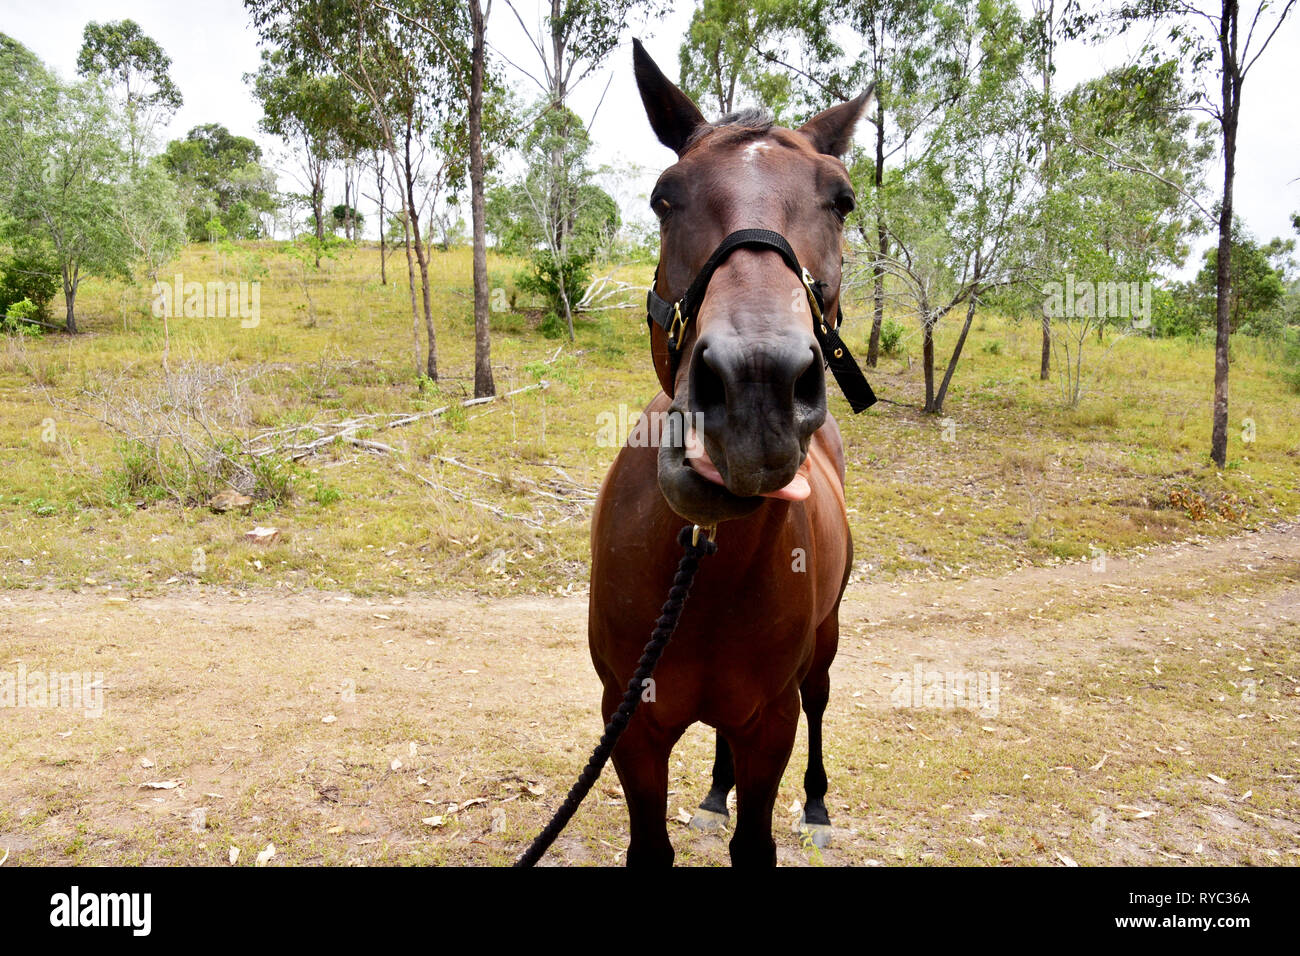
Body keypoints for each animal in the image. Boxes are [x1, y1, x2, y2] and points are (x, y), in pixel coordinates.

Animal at [590, 42, 873, 868]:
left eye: (842, 200)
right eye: (664, 198)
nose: (755, 387)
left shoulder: (768, 722)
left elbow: (757, 841)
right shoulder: (631, 723)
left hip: (825, 645)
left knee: (821, 700)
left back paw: (816, 804)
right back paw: (715, 792)